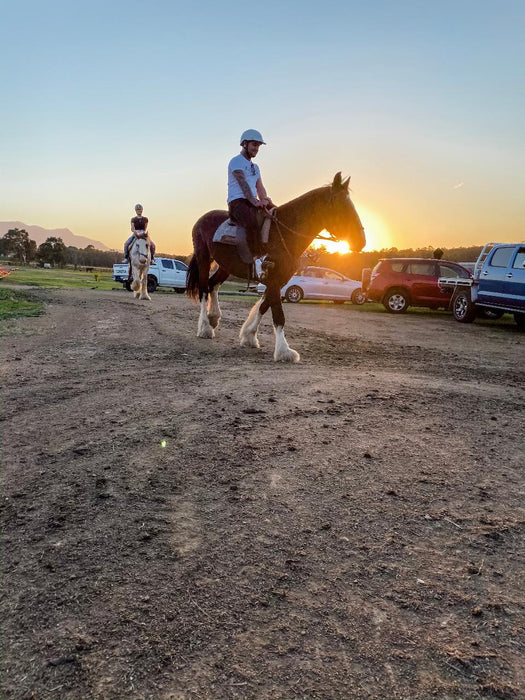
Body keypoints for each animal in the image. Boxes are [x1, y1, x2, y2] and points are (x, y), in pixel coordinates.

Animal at [185, 173, 364, 364]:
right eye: (342, 207)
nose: (362, 241)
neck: (284, 234)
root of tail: (202, 220)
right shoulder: (274, 279)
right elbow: (278, 314)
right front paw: (284, 351)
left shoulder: (279, 280)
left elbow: (264, 306)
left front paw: (249, 336)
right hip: (204, 259)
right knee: (203, 289)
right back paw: (205, 328)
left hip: (226, 266)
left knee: (213, 284)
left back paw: (214, 317)